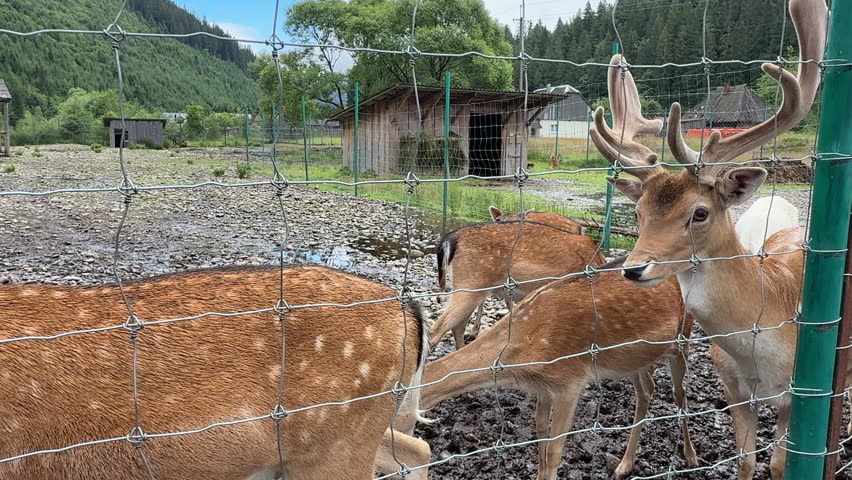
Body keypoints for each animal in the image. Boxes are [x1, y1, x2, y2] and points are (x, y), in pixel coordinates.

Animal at [412, 261, 698, 479]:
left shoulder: (570, 381)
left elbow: (555, 449)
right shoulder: (543, 385)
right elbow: (540, 431)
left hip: (682, 340)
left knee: (680, 393)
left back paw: (691, 456)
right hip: (634, 359)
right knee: (647, 389)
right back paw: (623, 465)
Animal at [586, 0, 828, 477]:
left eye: (699, 213)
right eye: (639, 212)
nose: (633, 268)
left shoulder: (799, 396)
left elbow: (778, 464)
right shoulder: (734, 389)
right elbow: (746, 462)